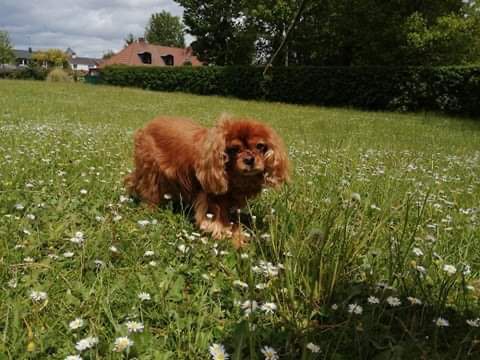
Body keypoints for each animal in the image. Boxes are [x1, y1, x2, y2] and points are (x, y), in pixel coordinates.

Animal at [124, 115, 288, 248]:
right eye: (234, 149)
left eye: (260, 146)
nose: (249, 159)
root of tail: (150, 124)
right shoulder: (211, 199)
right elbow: (220, 223)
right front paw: (236, 240)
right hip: (150, 171)